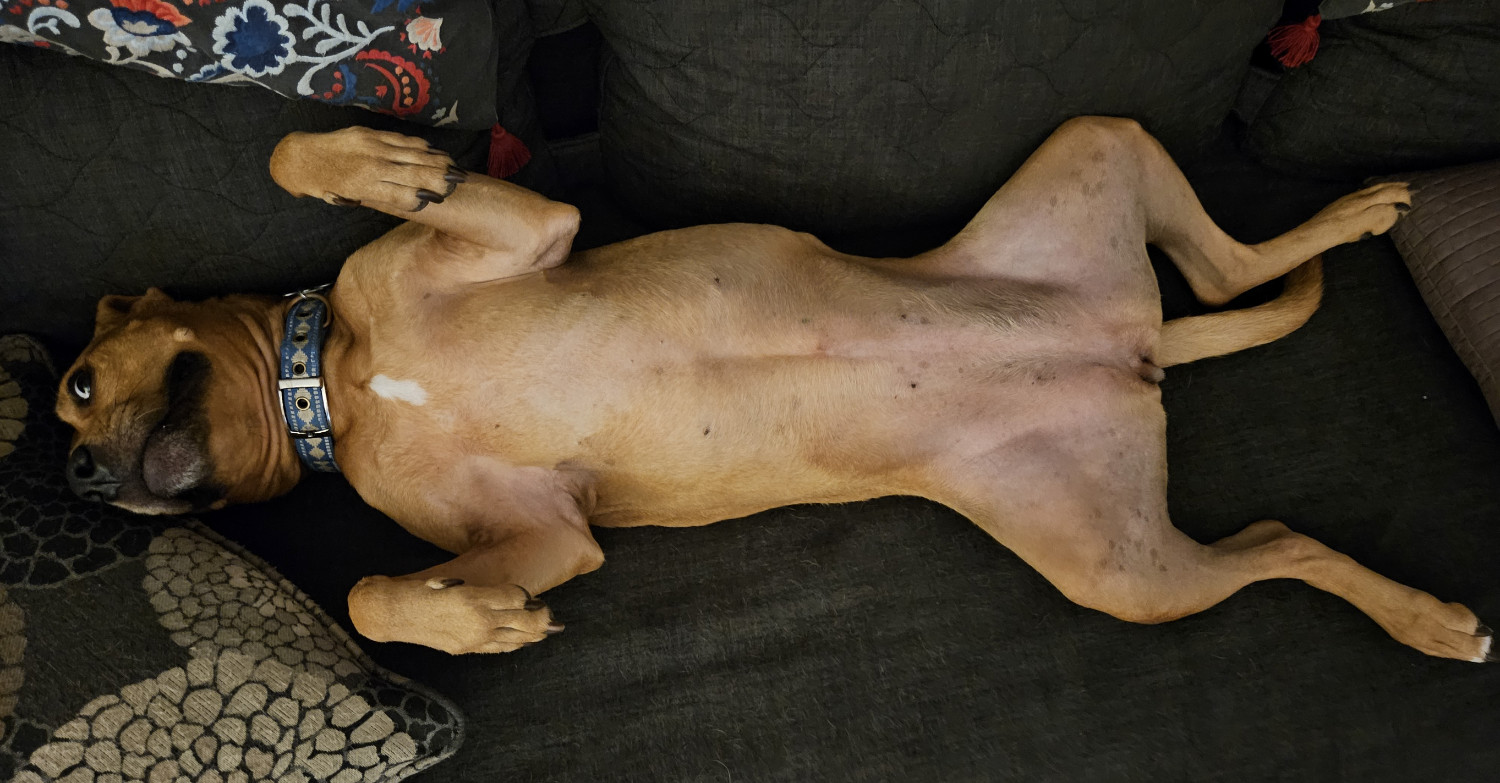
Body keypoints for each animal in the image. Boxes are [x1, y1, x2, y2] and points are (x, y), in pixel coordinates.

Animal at [52, 118, 1494, 660]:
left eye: (73, 384)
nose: (78, 476)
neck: (335, 386)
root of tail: (1124, 348)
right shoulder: (551, 530)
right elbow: (371, 586)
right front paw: (474, 618)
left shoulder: (522, 229)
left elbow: (298, 157)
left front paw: (375, 157)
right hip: (1117, 560)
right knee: (1279, 528)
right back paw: (1425, 613)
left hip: (1098, 164)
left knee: (1231, 267)